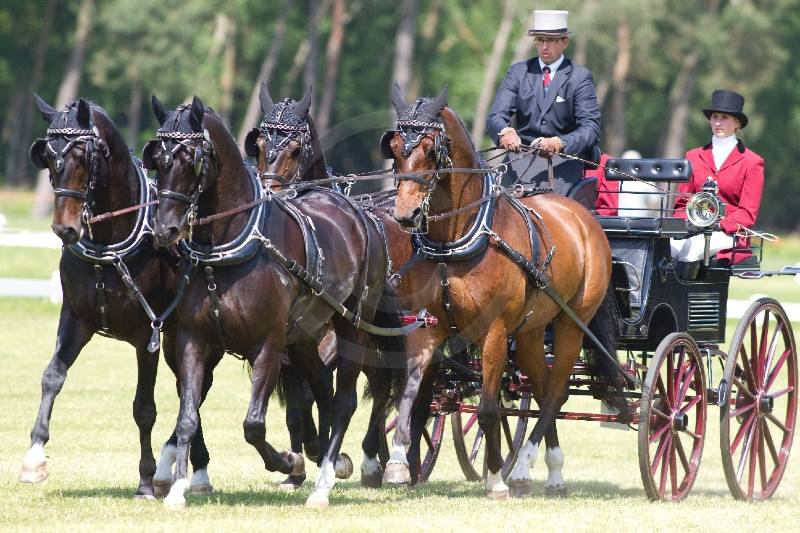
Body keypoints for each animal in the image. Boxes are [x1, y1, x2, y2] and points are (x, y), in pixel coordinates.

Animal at [21, 96, 214, 499]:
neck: (108, 246)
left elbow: (144, 408)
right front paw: (34, 457)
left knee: (196, 389)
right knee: (188, 388)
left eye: (83, 156)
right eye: (48, 156)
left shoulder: (147, 334)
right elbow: (52, 376)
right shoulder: (76, 319)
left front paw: (145, 479)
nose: (64, 228)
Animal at [146, 95, 405, 508]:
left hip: (352, 324)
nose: (165, 228)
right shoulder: (193, 339)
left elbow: (254, 424)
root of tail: (362, 214)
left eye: (192, 158)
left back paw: (325, 481)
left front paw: (287, 461)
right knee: (322, 386)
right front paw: (178, 488)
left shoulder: (268, 343)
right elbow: (188, 415)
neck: (227, 248)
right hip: (304, 334)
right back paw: (328, 457)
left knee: (345, 399)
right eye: (158, 158)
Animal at [378, 85, 619, 498]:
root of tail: (585, 219)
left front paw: (494, 479)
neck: (458, 237)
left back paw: (525, 468)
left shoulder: (493, 331)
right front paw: (396, 464)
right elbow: (410, 393)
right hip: (531, 331)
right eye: (394, 148)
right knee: (541, 389)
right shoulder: (428, 327)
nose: (405, 215)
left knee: (556, 392)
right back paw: (546, 472)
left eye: (430, 149)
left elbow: (489, 408)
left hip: (572, 323)